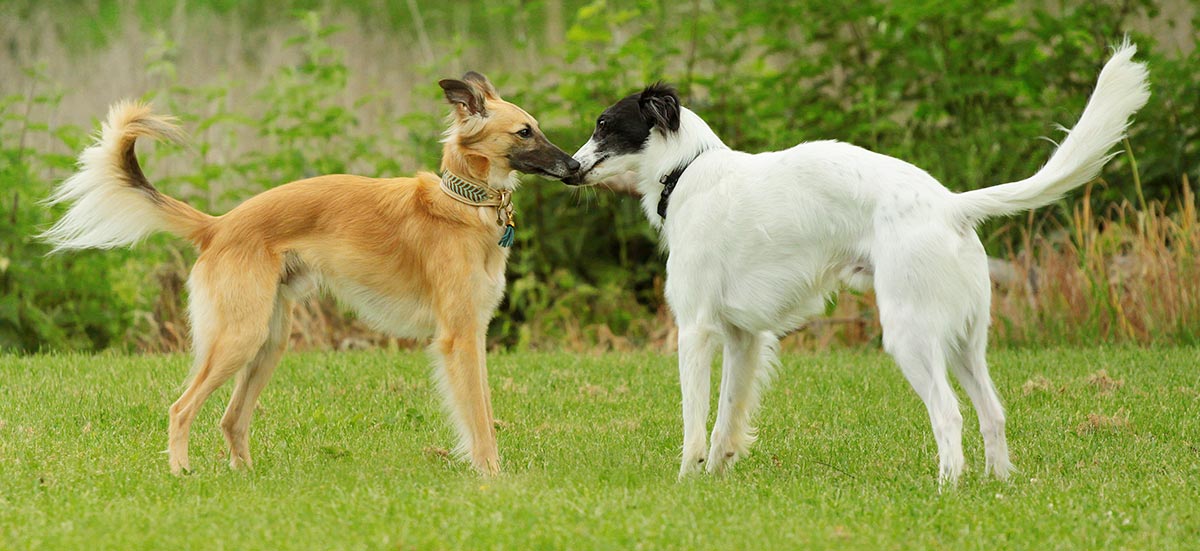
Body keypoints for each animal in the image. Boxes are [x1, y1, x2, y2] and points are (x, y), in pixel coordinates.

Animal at [42, 73, 576, 477]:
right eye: (524, 132)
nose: (574, 166)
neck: (463, 204)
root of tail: (217, 226)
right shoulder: (459, 336)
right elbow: (478, 417)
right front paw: (492, 475)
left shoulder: (473, 333)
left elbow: (482, 407)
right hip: (239, 337)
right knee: (181, 408)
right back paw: (181, 473)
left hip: (268, 341)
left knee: (231, 420)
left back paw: (245, 476)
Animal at [566, 43, 1147, 482]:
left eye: (604, 124)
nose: (567, 167)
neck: (687, 171)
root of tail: (950, 203)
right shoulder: (743, 338)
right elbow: (726, 420)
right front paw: (716, 476)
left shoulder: (696, 329)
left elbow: (694, 423)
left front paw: (688, 481)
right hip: (964, 343)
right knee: (992, 413)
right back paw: (995, 483)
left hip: (911, 337)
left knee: (949, 415)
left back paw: (946, 488)